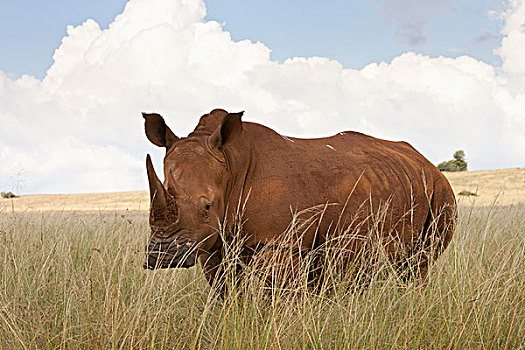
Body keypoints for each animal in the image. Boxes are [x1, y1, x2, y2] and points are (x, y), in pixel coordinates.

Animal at [143, 109, 454, 290]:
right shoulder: (213, 242)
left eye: (207, 205)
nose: (161, 256)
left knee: (419, 263)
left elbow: (272, 295)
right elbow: (227, 291)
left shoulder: (282, 243)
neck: (231, 163)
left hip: (440, 190)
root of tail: (425, 160)